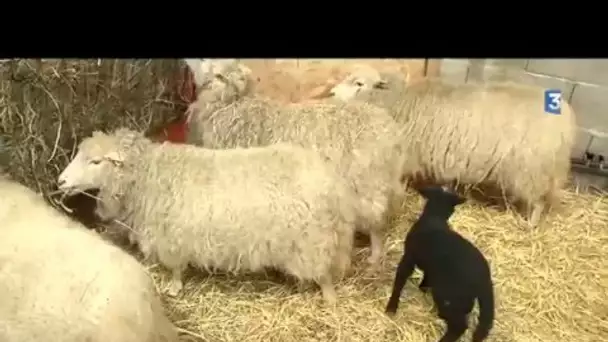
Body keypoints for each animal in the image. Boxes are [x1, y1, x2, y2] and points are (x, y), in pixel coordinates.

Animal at [54, 127, 358, 302]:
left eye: (95, 162)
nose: (60, 182)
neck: (147, 176)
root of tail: (332, 182)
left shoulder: (172, 237)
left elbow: (175, 268)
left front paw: (174, 288)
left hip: (313, 240)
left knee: (324, 274)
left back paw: (329, 299)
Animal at [183, 58, 406, 266]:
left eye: (216, 71)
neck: (236, 107)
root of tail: (390, 130)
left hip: (368, 188)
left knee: (376, 225)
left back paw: (374, 256)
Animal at [324, 71, 576, 227]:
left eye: (358, 83)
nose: (331, 93)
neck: (398, 100)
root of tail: (567, 119)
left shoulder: (408, 155)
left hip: (532, 170)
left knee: (538, 202)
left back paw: (529, 224)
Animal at [388, 187, 496, 342]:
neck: (435, 217)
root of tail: (485, 278)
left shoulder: (408, 257)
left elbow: (399, 281)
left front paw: (391, 307)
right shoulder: (431, 267)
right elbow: (427, 276)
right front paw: (423, 287)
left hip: (450, 295)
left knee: (459, 326)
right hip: (462, 299)